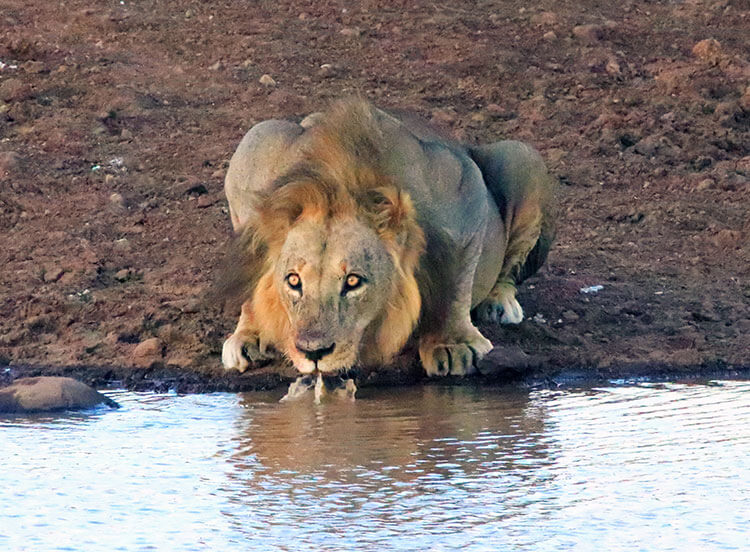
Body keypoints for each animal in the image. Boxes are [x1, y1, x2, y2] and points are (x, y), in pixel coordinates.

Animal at [220, 99, 556, 378]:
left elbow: (457, 278)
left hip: (521, 155)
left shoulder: (462, 184)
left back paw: (500, 304)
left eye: (353, 281)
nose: (313, 352)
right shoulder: (256, 152)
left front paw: (453, 344)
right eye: (293, 281)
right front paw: (250, 334)